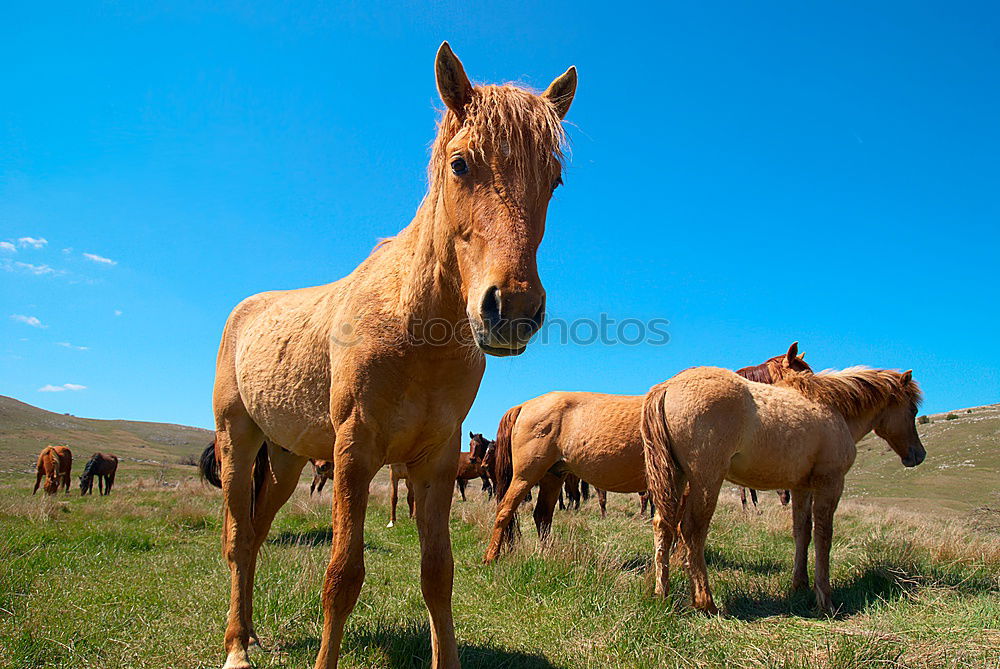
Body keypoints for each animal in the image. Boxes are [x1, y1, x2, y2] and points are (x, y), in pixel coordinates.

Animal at [201, 43, 580, 668]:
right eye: (460, 164)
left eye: (554, 178)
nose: (513, 308)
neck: (412, 325)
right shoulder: (354, 453)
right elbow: (342, 576)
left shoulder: (436, 460)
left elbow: (438, 574)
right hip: (238, 439)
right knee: (236, 537)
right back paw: (236, 647)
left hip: (286, 458)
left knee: (254, 536)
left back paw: (251, 634)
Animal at [480, 342, 808, 560]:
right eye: (803, 376)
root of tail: (524, 405)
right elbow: (680, 524)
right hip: (527, 474)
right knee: (505, 510)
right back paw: (491, 558)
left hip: (553, 475)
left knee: (542, 516)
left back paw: (547, 555)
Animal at [644, 362, 924, 612]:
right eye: (912, 410)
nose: (918, 455)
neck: (834, 409)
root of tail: (667, 386)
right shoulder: (830, 483)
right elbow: (824, 537)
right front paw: (825, 599)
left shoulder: (801, 488)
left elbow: (803, 532)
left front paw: (800, 585)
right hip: (706, 480)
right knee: (691, 530)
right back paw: (705, 602)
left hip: (676, 478)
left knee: (663, 525)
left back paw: (662, 593)